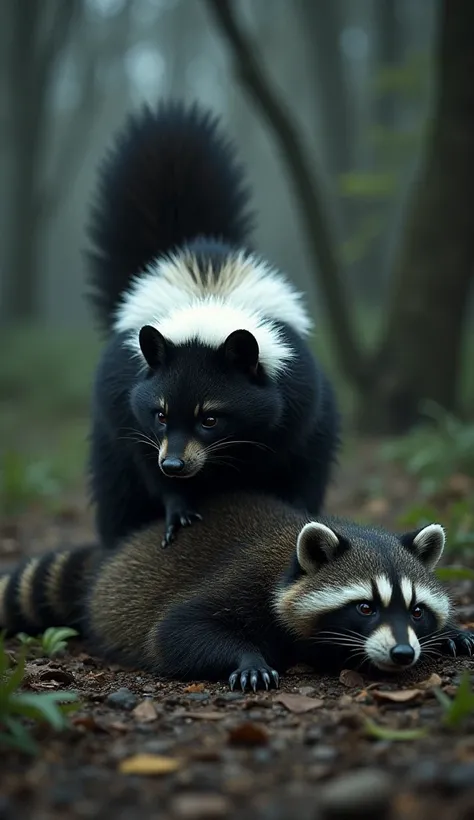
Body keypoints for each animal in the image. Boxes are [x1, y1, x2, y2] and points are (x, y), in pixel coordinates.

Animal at [1, 496, 472, 688]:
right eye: (365, 608)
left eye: (416, 611)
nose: (403, 654)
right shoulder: (244, 579)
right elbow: (175, 631)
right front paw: (247, 659)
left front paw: (449, 630)